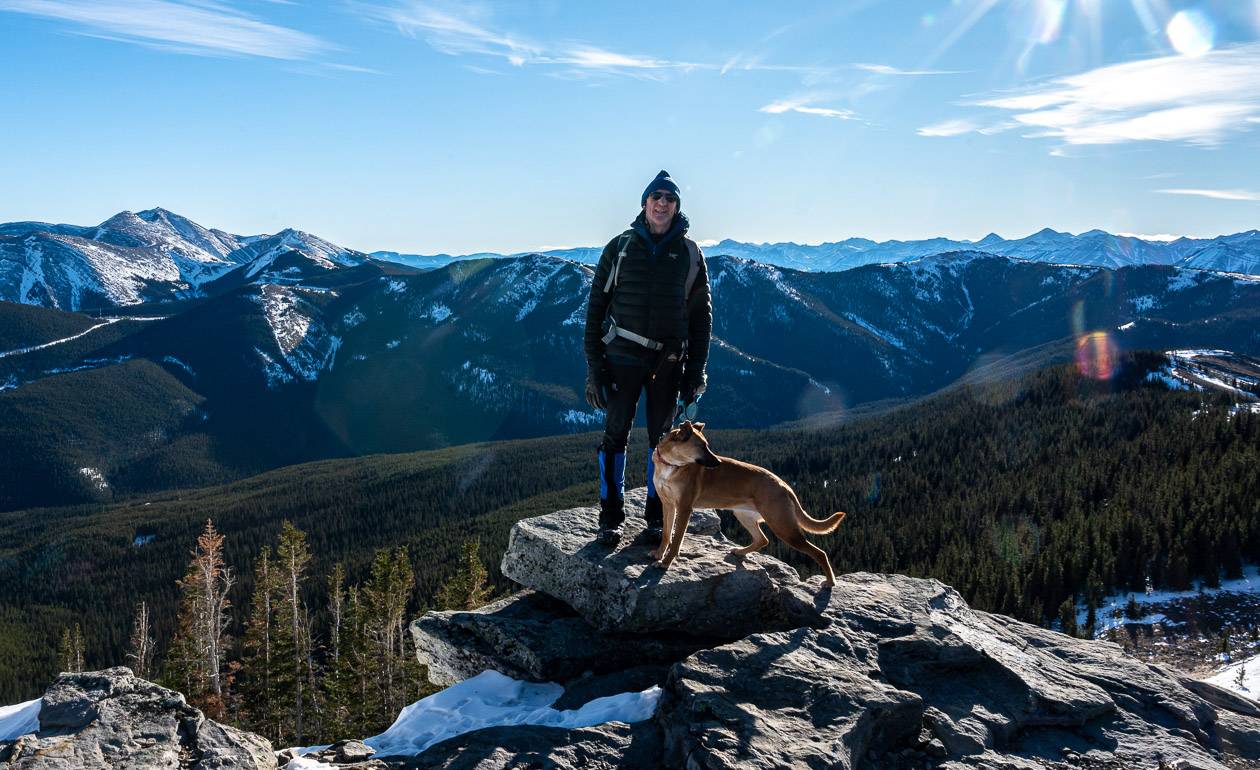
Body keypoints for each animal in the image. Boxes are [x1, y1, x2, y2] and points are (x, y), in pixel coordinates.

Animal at [650, 420, 846, 584]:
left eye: (707, 445)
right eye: (701, 446)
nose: (718, 462)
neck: (670, 465)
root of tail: (785, 486)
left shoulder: (684, 508)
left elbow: (676, 540)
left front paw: (666, 562)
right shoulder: (668, 505)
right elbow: (666, 534)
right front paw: (659, 554)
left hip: (783, 527)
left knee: (819, 553)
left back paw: (830, 582)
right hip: (745, 515)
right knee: (762, 539)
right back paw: (739, 551)